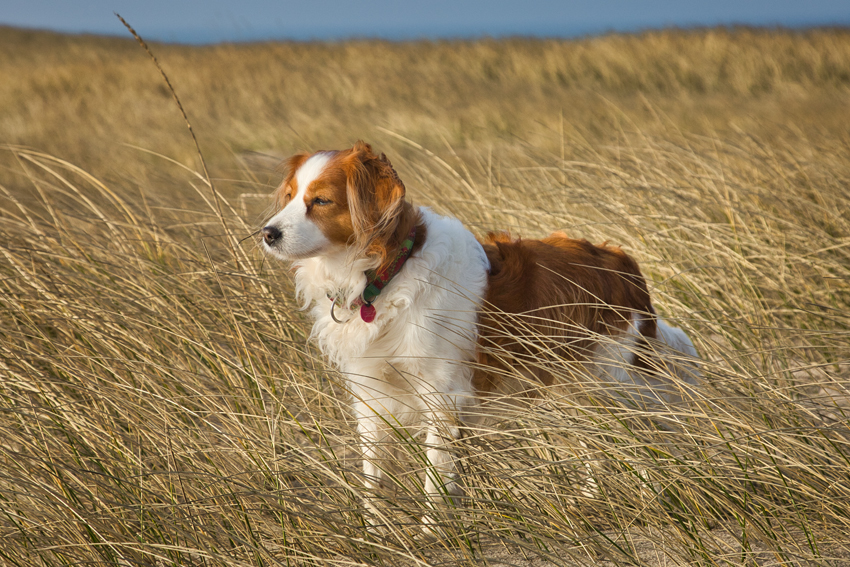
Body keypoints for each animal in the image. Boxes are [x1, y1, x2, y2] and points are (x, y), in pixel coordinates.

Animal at [262, 143, 700, 520]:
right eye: (290, 196)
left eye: (321, 201)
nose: (268, 233)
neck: (387, 273)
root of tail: (624, 263)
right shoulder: (371, 397)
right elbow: (374, 481)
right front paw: (376, 534)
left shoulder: (442, 396)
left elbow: (436, 482)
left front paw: (433, 534)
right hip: (577, 389)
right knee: (595, 443)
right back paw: (591, 501)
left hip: (612, 384)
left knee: (640, 441)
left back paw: (654, 501)